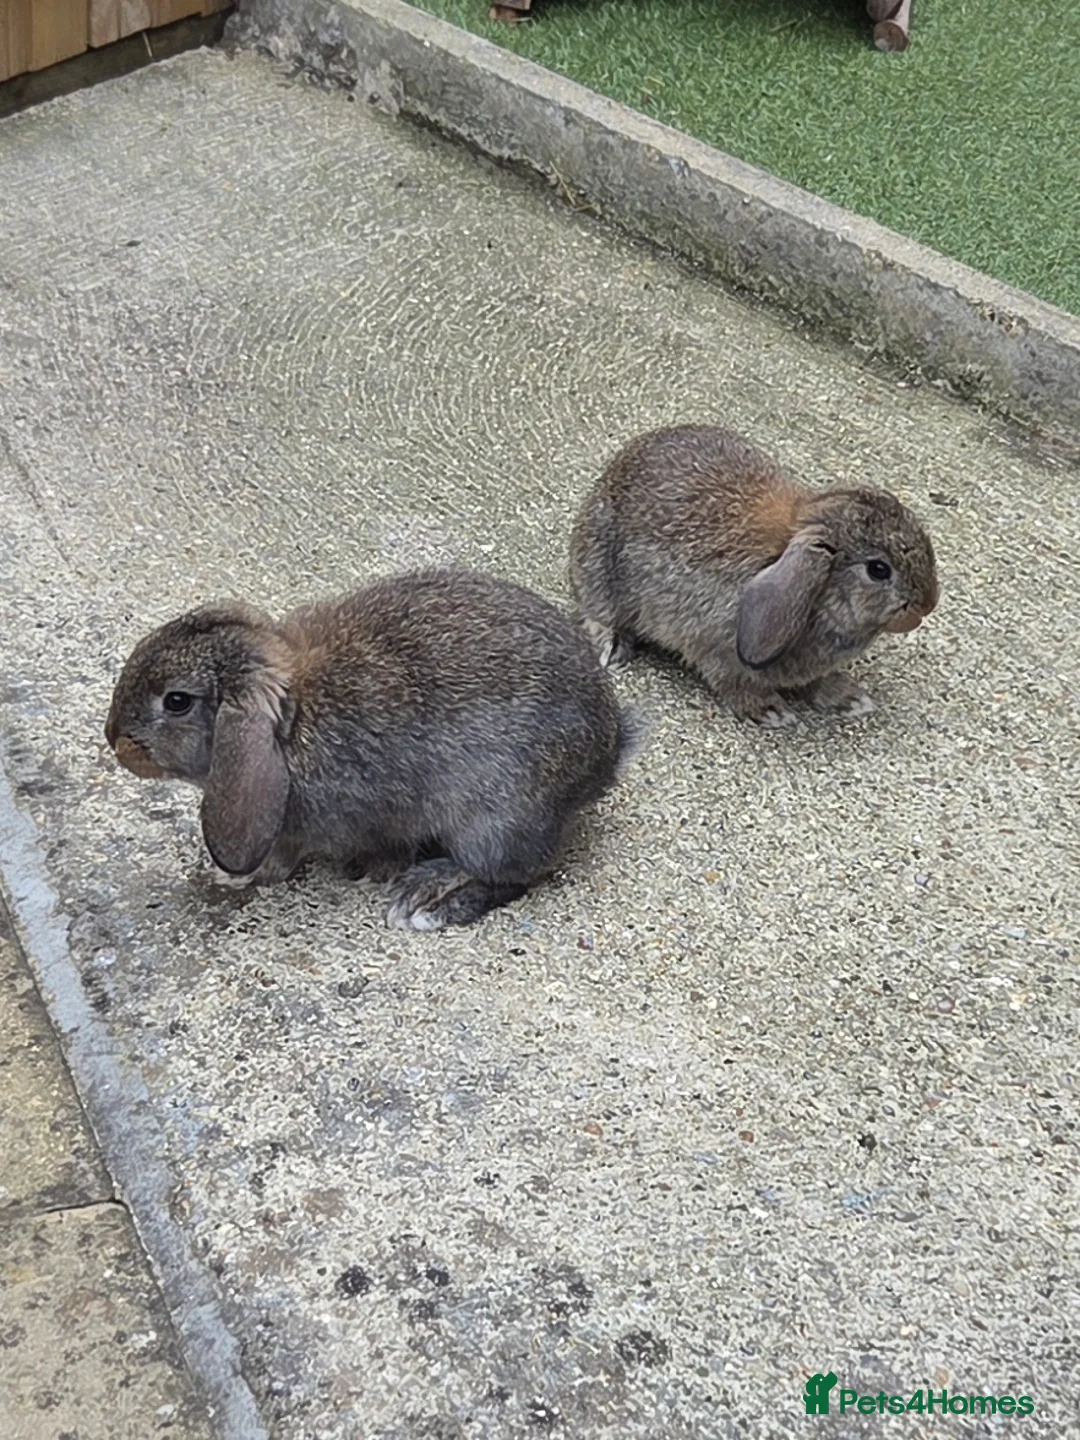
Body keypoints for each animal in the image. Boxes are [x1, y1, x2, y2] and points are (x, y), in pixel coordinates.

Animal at [105, 568, 638, 931]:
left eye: (176, 701)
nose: (115, 741)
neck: (291, 720)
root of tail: (606, 758)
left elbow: (282, 858)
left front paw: (237, 878)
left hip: (495, 817)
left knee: (511, 875)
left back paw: (424, 900)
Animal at [570, 424, 939, 728]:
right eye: (878, 569)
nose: (928, 603)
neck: (819, 588)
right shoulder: (719, 652)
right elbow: (734, 682)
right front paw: (772, 711)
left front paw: (850, 698)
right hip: (598, 568)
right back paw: (614, 647)